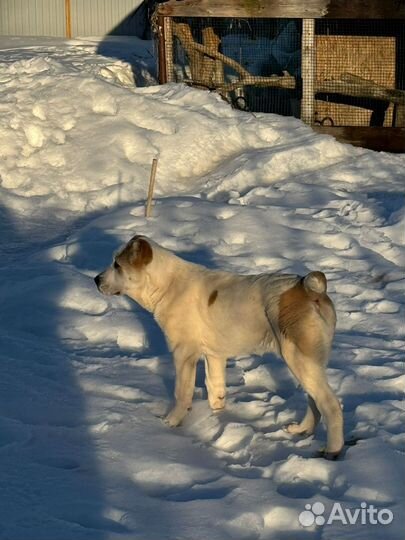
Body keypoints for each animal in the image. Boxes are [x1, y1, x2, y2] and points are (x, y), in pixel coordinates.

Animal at [94, 234, 340, 458]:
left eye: (117, 264)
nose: (96, 279)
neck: (168, 285)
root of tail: (310, 289)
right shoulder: (214, 356)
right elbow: (215, 387)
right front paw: (218, 418)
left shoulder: (184, 354)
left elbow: (182, 392)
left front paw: (170, 423)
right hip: (309, 362)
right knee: (314, 401)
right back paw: (302, 430)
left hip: (299, 358)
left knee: (330, 404)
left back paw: (332, 450)